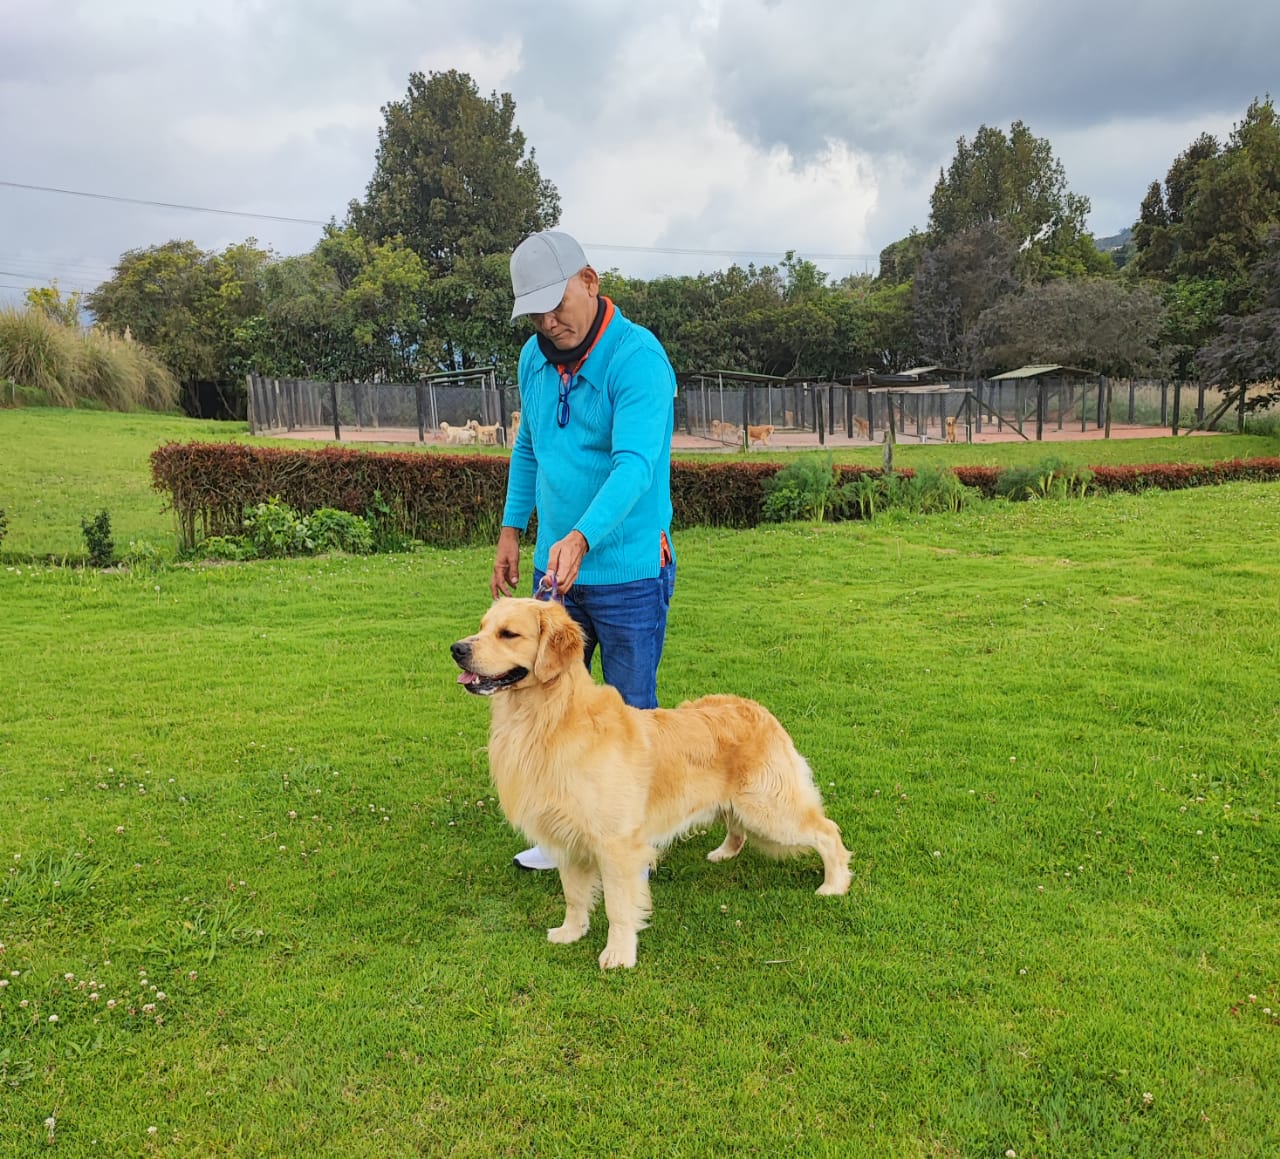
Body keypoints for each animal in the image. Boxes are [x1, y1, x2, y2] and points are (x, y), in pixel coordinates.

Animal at [450, 596, 849, 968]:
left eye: (508, 634)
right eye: (482, 627)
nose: (456, 649)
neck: (548, 717)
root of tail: (759, 709)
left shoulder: (615, 845)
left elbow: (618, 907)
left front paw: (619, 954)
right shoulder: (567, 839)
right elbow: (574, 896)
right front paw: (571, 932)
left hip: (769, 808)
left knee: (828, 831)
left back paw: (835, 884)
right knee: (738, 826)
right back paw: (724, 852)